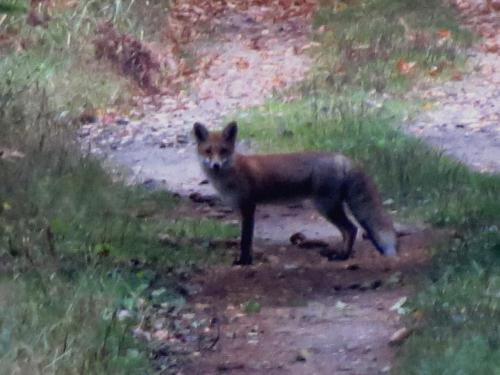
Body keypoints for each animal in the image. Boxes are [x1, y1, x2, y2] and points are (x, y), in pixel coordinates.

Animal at [192, 122, 398, 266]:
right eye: (208, 151)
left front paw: (244, 262)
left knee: (351, 229)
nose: (216, 165)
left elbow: (245, 241)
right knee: (351, 229)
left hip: (325, 206)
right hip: (331, 206)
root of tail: (342, 157)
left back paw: (341, 257)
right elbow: (245, 240)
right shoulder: (241, 208)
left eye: (223, 151)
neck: (232, 173)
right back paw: (342, 255)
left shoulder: (249, 206)